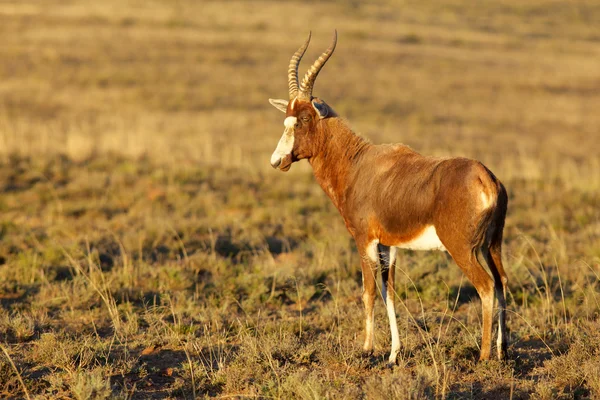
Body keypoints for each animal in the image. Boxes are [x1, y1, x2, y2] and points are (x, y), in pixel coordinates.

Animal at [270, 32, 508, 366]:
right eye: (286, 119)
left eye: (304, 118)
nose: (277, 161)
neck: (359, 163)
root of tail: (486, 178)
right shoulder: (389, 245)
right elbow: (389, 292)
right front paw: (394, 354)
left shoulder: (364, 240)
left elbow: (368, 291)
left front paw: (367, 349)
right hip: (492, 245)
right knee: (501, 283)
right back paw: (502, 350)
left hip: (463, 249)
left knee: (486, 286)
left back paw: (484, 356)